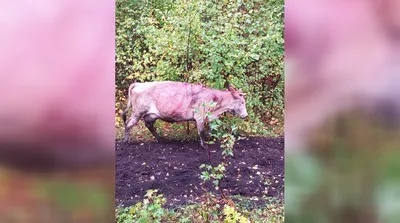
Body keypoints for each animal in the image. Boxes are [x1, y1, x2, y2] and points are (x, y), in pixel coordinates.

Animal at [120, 80, 248, 159]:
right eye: (242, 102)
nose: (246, 115)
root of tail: (138, 84)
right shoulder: (199, 116)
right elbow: (201, 131)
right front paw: (204, 145)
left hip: (151, 115)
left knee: (149, 125)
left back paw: (160, 139)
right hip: (138, 112)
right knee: (128, 124)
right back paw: (126, 141)